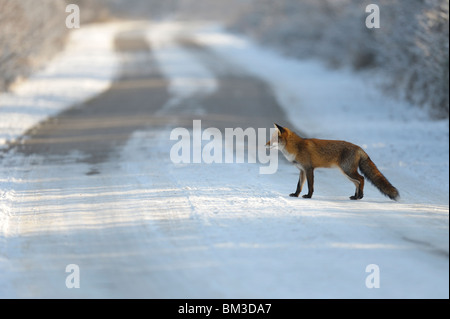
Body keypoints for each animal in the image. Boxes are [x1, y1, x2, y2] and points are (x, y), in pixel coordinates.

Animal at [266, 124, 400, 201]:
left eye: (272, 139)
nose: (265, 144)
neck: (297, 147)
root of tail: (359, 148)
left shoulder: (309, 169)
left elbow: (310, 186)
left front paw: (308, 196)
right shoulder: (302, 170)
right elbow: (299, 186)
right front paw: (296, 194)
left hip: (348, 171)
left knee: (361, 179)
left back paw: (360, 196)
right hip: (346, 173)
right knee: (357, 182)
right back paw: (355, 196)